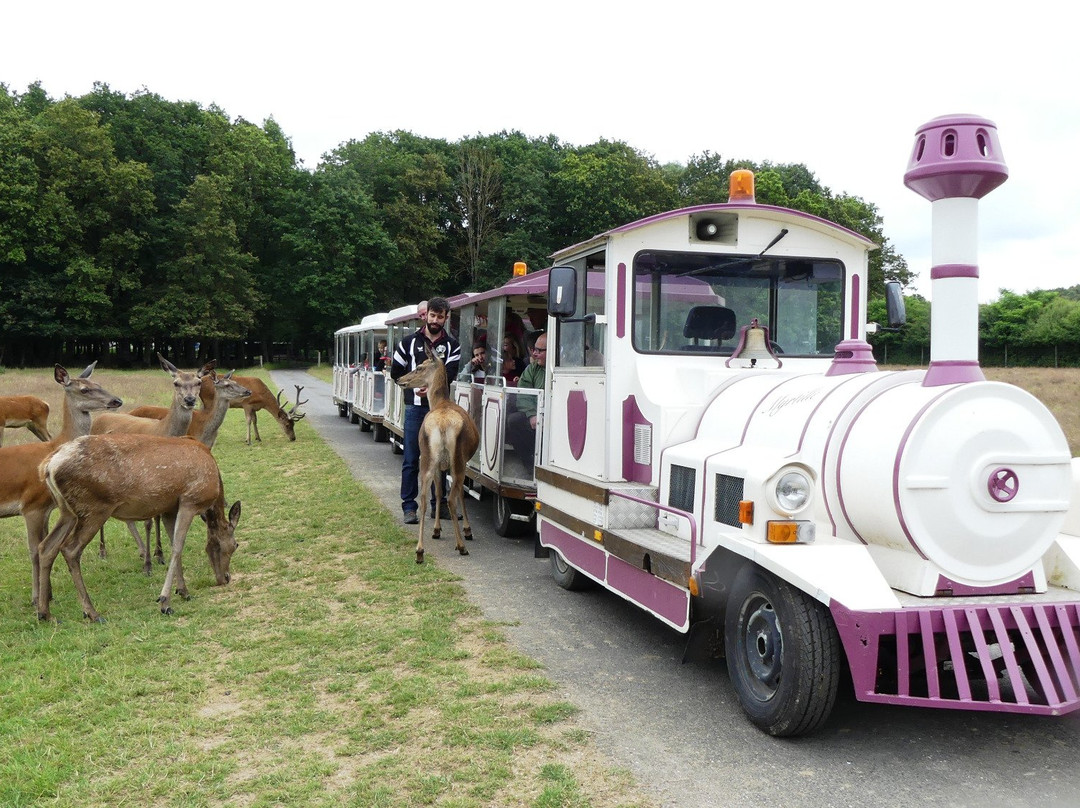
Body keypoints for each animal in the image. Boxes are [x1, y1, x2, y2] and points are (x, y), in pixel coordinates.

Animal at [0, 362, 122, 609]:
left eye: (98, 383)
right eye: (84, 389)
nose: (117, 401)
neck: (54, 447)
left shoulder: (47, 507)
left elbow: (48, 547)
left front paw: (49, 594)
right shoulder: (31, 505)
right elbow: (34, 550)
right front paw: (36, 598)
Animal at [38, 432, 243, 622]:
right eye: (235, 545)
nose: (226, 577)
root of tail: (48, 466)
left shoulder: (170, 509)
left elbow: (173, 545)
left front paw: (183, 591)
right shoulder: (190, 500)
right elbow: (178, 547)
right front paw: (164, 601)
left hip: (67, 512)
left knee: (46, 547)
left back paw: (45, 614)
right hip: (94, 508)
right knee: (70, 549)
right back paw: (92, 613)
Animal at [393, 343, 477, 566]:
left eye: (420, 367)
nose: (400, 379)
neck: (440, 402)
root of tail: (442, 425)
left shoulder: (440, 465)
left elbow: (437, 493)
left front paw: (437, 529)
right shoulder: (460, 463)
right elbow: (455, 495)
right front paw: (467, 530)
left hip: (428, 457)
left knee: (423, 498)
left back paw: (419, 551)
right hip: (457, 460)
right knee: (453, 498)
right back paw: (461, 545)